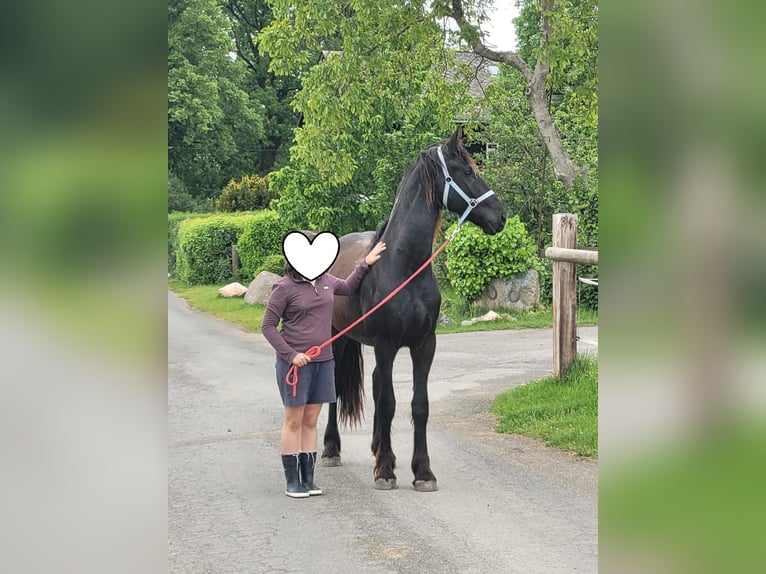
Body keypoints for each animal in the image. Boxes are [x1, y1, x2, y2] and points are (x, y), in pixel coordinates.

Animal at [322, 125, 506, 491]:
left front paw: (422, 472)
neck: (404, 266)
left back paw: (381, 450)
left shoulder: (424, 344)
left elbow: (418, 405)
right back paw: (333, 450)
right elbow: (389, 403)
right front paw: (385, 473)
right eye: (467, 172)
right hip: (340, 338)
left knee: (377, 385)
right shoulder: (386, 344)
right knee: (337, 388)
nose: (501, 217)